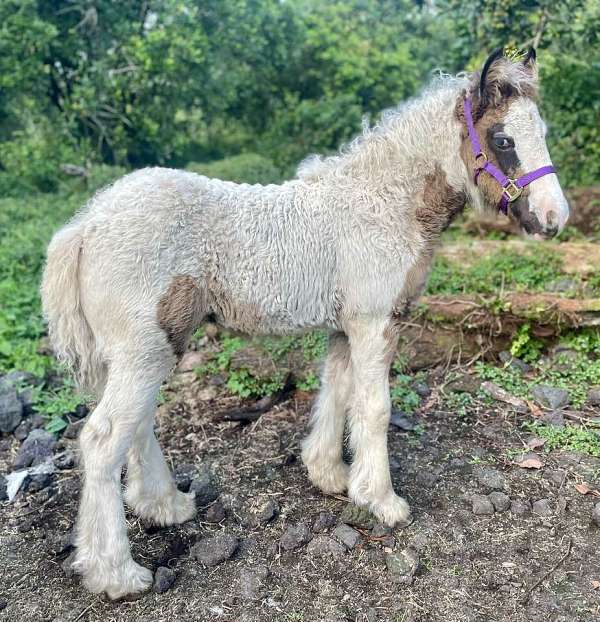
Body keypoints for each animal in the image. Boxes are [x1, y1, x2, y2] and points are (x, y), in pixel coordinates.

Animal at [41, 50, 568, 600]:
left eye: (541, 132)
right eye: (503, 140)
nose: (554, 217)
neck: (383, 203)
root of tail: (85, 225)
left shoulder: (345, 327)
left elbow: (336, 391)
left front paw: (330, 474)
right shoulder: (375, 323)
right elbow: (374, 407)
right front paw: (381, 500)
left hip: (151, 347)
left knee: (137, 423)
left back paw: (165, 505)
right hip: (145, 349)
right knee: (102, 439)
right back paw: (116, 573)